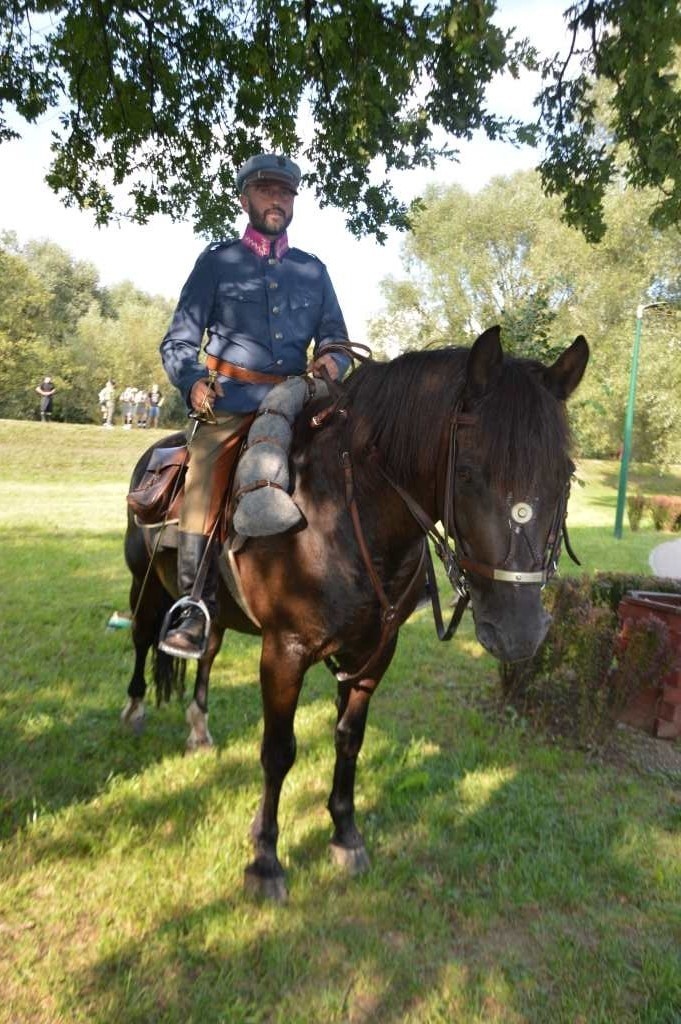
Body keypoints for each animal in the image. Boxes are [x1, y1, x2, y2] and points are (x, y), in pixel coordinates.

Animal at [120, 325, 585, 897]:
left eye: (564, 473)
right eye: (468, 473)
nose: (519, 631)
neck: (342, 513)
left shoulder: (374, 653)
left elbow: (349, 740)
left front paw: (345, 835)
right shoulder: (284, 652)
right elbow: (279, 751)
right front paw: (265, 859)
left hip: (216, 612)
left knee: (206, 651)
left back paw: (199, 729)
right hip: (143, 586)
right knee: (143, 638)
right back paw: (135, 709)